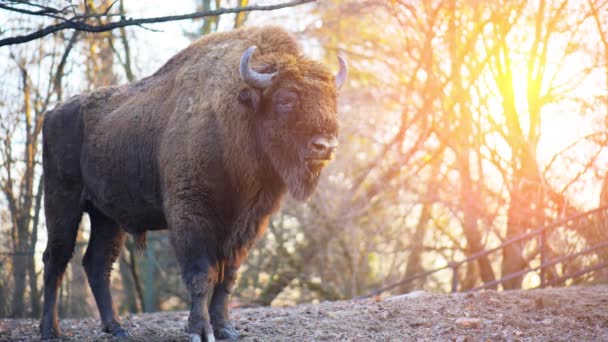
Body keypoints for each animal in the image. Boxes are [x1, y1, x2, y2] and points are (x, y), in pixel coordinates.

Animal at [39, 25, 346, 340]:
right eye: (285, 99)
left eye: (331, 100)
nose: (325, 145)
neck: (236, 116)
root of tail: (52, 113)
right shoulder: (192, 216)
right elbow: (202, 274)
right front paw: (200, 330)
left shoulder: (246, 225)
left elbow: (227, 277)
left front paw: (226, 329)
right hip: (62, 202)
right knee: (56, 258)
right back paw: (51, 330)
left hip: (107, 217)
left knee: (97, 263)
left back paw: (117, 327)